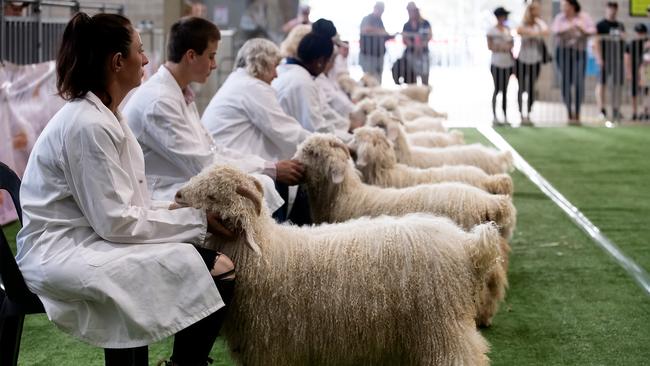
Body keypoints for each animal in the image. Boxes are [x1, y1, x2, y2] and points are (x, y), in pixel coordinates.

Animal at [175, 165, 498, 366]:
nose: (177, 195)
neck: (266, 253)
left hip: (442, 326)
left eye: (213, 195)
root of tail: (467, 244)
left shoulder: (272, 345)